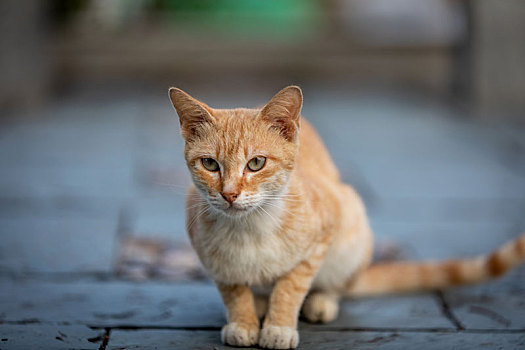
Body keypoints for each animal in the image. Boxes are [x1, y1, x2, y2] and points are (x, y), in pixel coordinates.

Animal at [168, 85, 524, 350]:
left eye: (256, 163)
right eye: (210, 164)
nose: (229, 194)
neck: (250, 228)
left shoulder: (322, 237)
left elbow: (290, 287)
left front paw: (279, 326)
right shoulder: (212, 259)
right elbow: (234, 291)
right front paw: (242, 321)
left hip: (352, 230)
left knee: (338, 284)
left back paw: (320, 302)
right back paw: (258, 304)